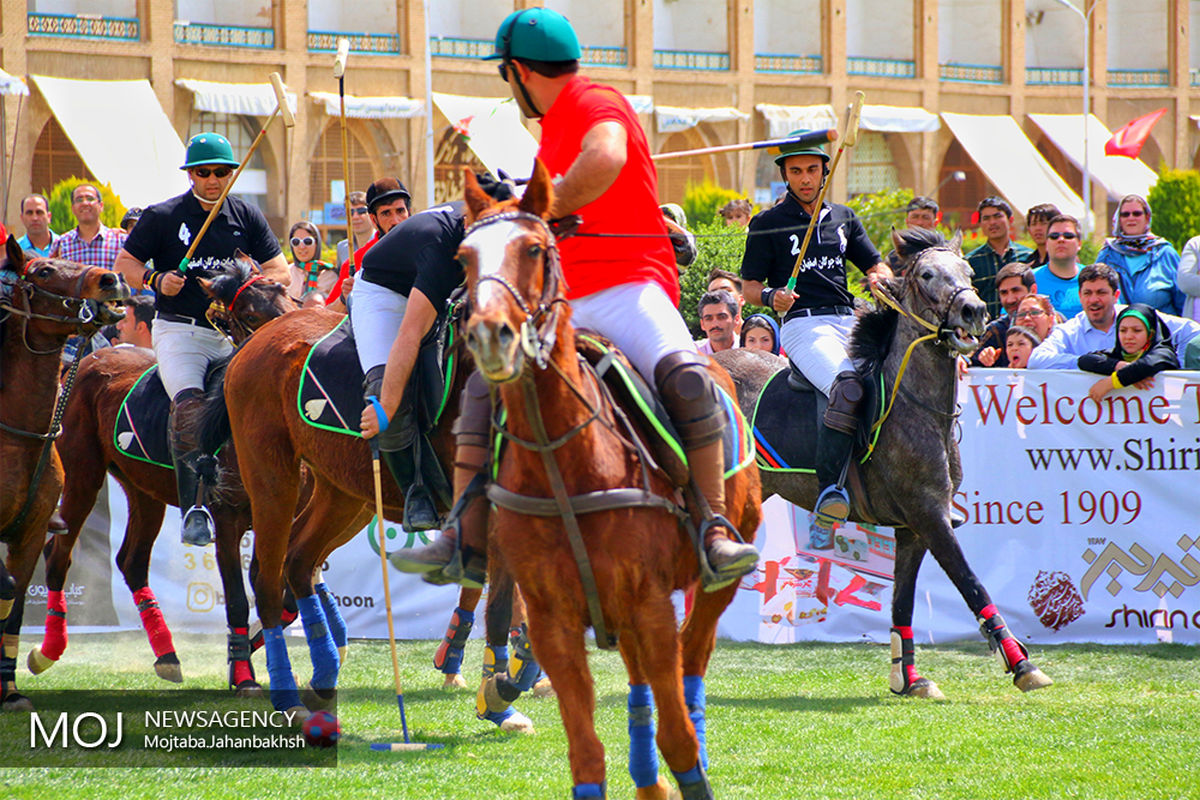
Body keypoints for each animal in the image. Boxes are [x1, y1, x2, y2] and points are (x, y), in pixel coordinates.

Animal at [27, 257, 294, 695]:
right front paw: (243, 674)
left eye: (289, 297)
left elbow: (285, 596)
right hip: (83, 476)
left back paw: (167, 654)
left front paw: (248, 651)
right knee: (57, 555)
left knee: (131, 560)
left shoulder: (283, 517)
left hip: (143, 490)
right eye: (253, 315)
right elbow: (239, 599)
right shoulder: (228, 518)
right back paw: (46, 651)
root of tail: (84, 362)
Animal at [458, 164, 758, 800]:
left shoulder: (649, 605)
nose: (490, 335)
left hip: (716, 576)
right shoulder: (555, 618)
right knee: (644, 685)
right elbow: (586, 754)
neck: (562, 459)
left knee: (693, 662)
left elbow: (679, 737)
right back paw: (647, 779)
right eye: (464, 256)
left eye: (536, 248)